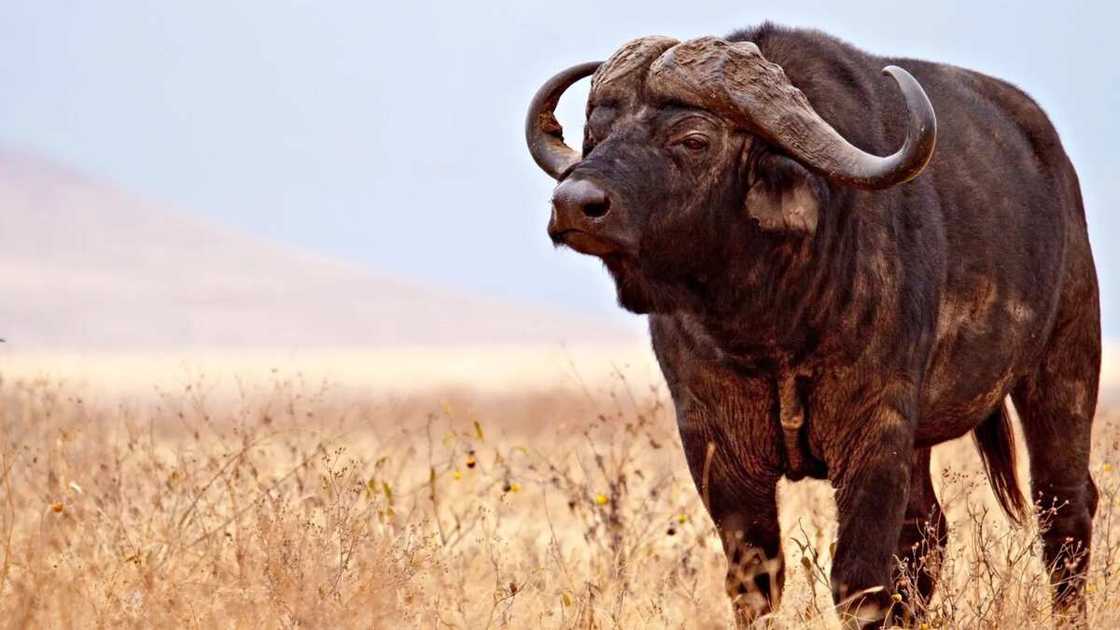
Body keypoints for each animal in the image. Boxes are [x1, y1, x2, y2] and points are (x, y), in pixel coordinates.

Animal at [525, 23, 1099, 628]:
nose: (574, 203)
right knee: (929, 531)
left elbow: (859, 581)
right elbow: (754, 580)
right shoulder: (715, 442)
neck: (773, 319)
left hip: (1064, 367)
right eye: (595, 132)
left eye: (694, 139)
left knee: (1064, 508)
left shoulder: (874, 432)